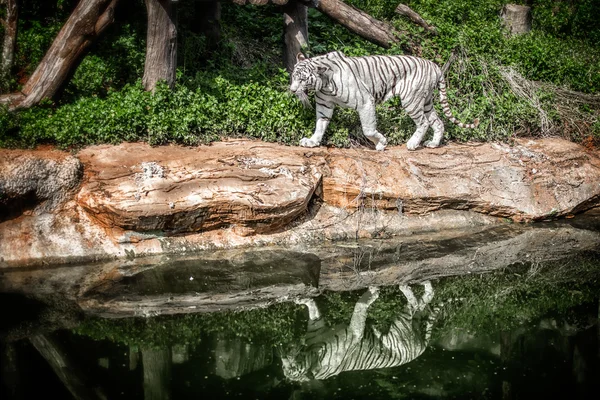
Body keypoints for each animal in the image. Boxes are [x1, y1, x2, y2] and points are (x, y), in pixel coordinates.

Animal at [282, 282, 440, 382]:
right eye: (285, 367)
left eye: (290, 367)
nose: (284, 353)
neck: (312, 352)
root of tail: (422, 348)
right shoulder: (353, 333)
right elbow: (359, 307)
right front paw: (373, 293)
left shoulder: (321, 325)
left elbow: (315, 310)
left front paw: (301, 299)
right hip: (403, 323)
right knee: (418, 303)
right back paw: (410, 286)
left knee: (422, 301)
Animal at [288, 52, 480, 152]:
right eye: (293, 77)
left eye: (303, 79)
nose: (292, 90)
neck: (324, 84)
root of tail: (435, 66)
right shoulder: (324, 105)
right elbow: (320, 125)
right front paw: (312, 141)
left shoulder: (365, 101)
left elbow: (368, 129)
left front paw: (381, 143)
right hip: (426, 102)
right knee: (438, 122)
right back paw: (433, 144)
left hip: (411, 100)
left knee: (424, 123)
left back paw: (412, 144)